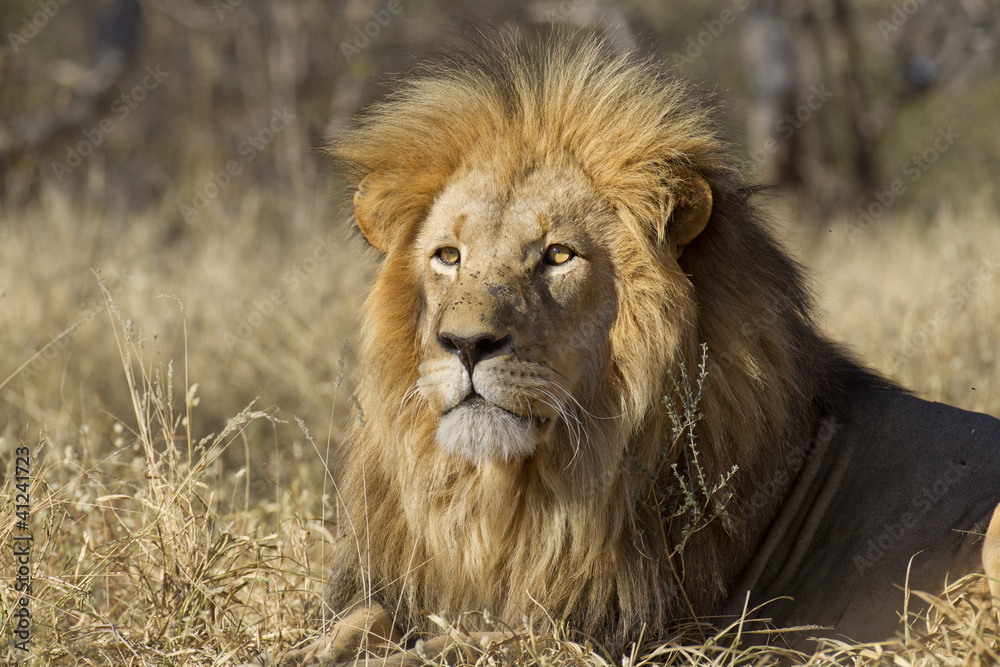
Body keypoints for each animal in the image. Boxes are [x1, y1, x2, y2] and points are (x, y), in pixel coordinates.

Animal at [308, 32, 1000, 664]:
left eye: (558, 255)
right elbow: (365, 619)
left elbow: (481, 641)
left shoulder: (632, 634)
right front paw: (318, 647)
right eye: (448, 257)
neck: (511, 499)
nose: (465, 343)